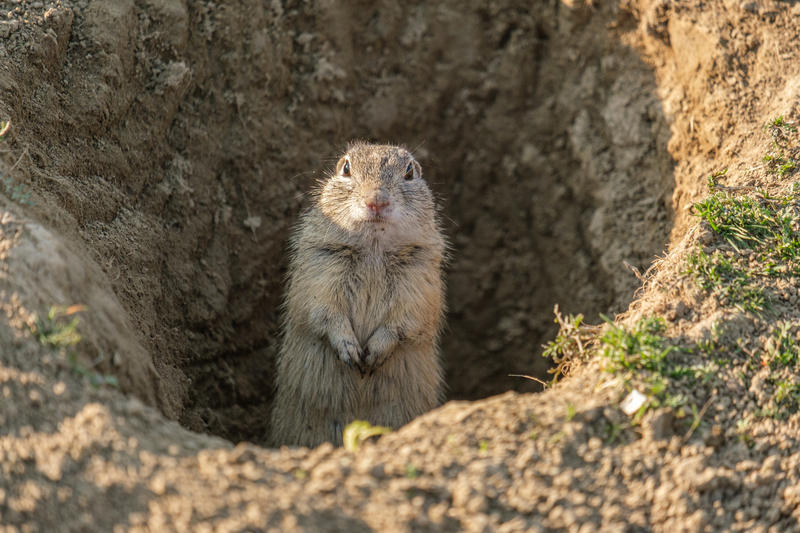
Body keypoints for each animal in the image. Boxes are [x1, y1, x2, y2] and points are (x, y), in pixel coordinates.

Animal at [268, 141, 444, 444]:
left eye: (410, 172)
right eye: (346, 168)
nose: (377, 201)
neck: (373, 247)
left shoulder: (418, 282)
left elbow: (404, 321)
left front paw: (372, 354)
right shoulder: (320, 272)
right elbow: (325, 313)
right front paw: (351, 351)